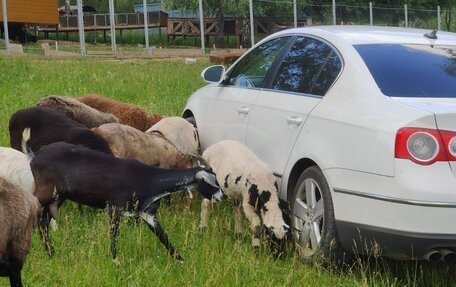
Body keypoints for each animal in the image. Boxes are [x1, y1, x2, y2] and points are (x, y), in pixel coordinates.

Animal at [29, 142, 222, 264]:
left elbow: (163, 236)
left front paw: (180, 260)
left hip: (58, 198)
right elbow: (114, 235)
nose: (221, 197)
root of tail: (36, 155)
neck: (149, 179)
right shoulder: (114, 208)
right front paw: (115, 260)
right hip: (45, 194)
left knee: (43, 222)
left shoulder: (146, 214)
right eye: (208, 181)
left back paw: (51, 254)